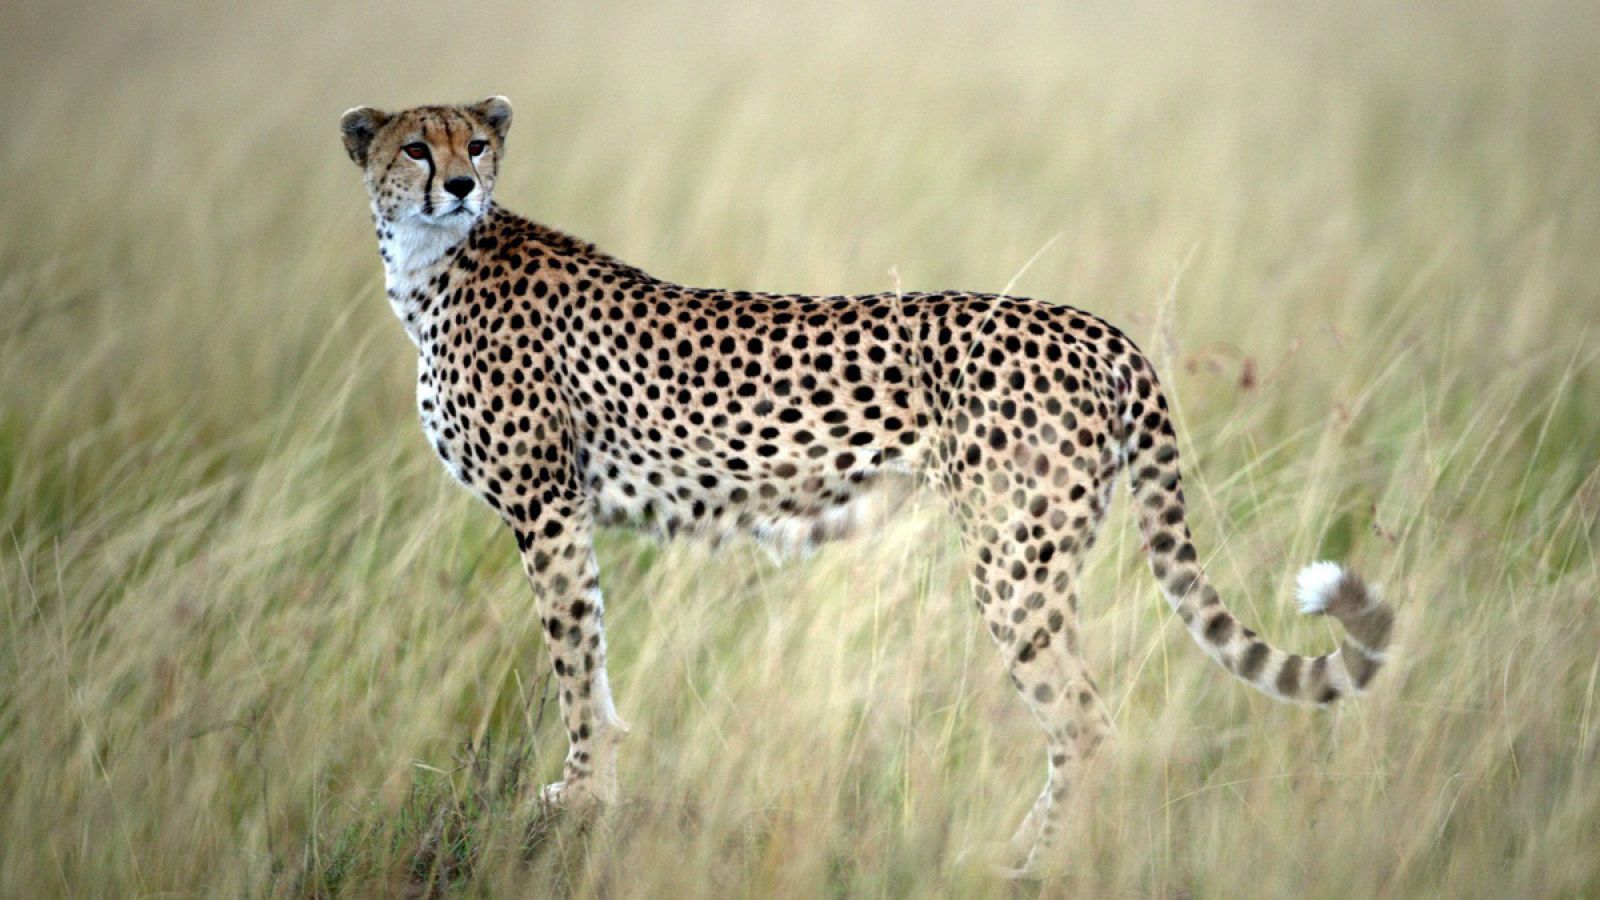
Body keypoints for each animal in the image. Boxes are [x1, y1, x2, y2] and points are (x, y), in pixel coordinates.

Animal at [338, 96, 1395, 877]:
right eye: (415, 147)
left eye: (475, 143)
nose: (460, 184)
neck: (433, 267)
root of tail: (1096, 326)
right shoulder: (561, 513)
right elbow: (590, 658)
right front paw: (593, 787)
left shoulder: (546, 506)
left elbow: (571, 657)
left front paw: (584, 793)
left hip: (1014, 560)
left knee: (1087, 722)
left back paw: (1028, 865)